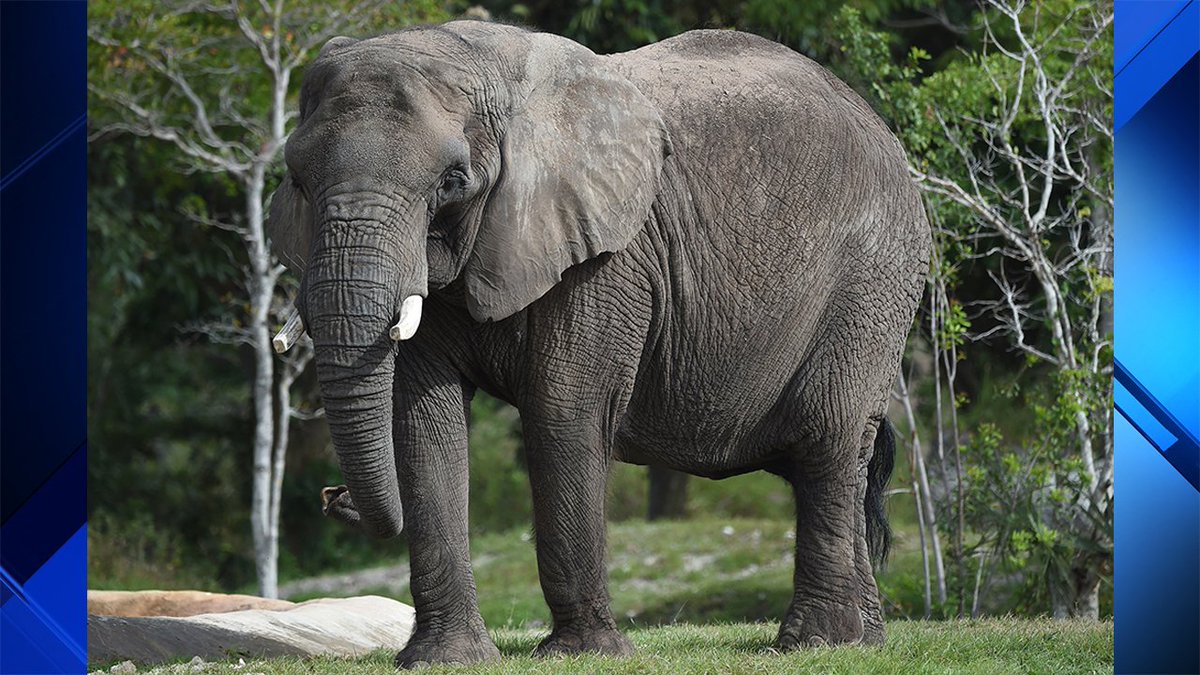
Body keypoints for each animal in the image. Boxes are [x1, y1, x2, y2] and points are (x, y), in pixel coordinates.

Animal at [267, 20, 930, 668]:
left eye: (453, 181)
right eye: (296, 178)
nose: (333, 497)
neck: (480, 60)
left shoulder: (610, 257)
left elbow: (563, 409)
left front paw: (582, 653)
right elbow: (423, 421)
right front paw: (444, 660)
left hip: (873, 280)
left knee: (827, 440)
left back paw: (815, 643)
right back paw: (864, 641)